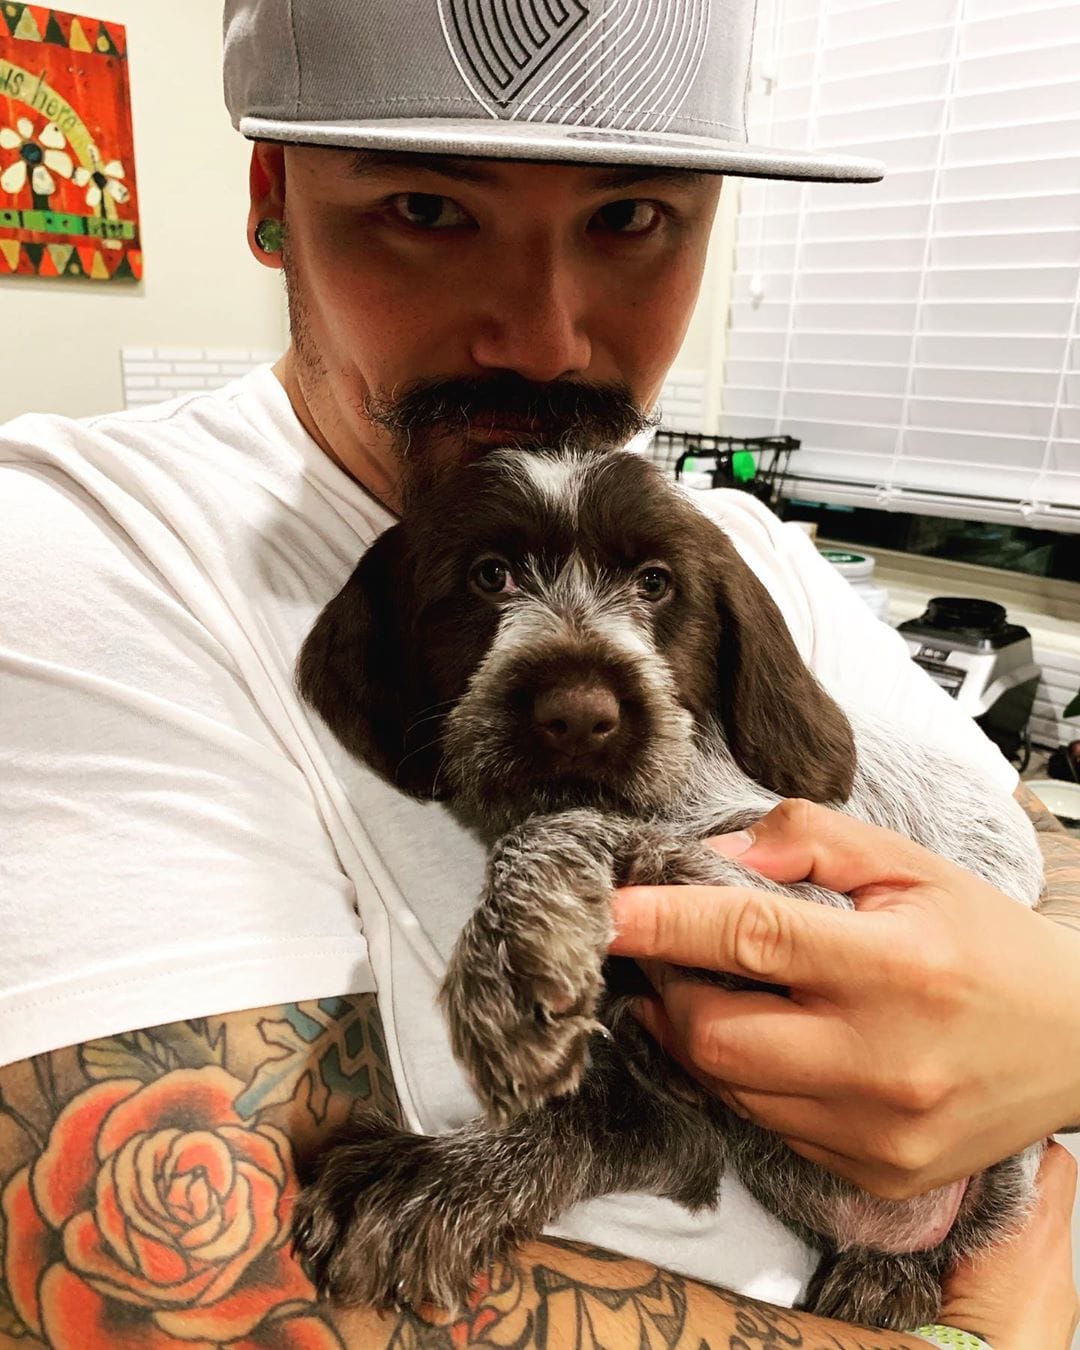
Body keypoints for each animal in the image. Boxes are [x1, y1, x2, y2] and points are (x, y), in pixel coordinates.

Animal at [293, 444, 1044, 1330]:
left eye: (655, 583)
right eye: (490, 576)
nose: (578, 715)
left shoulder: (821, 910)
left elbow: (586, 825)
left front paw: (506, 958)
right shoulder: (670, 1118)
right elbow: (570, 1123)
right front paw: (434, 1179)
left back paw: (893, 1272)